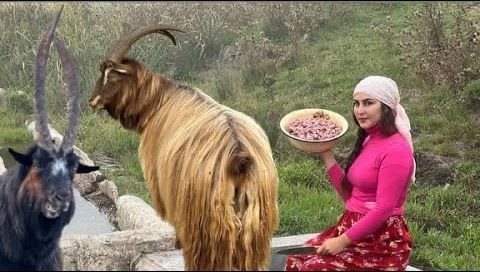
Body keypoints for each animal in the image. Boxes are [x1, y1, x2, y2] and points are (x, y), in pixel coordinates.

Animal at [88, 25, 280, 270]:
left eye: (111, 75)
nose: (92, 100)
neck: (159, 101)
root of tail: (239, 157)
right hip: (254, 227)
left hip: (205, 224)